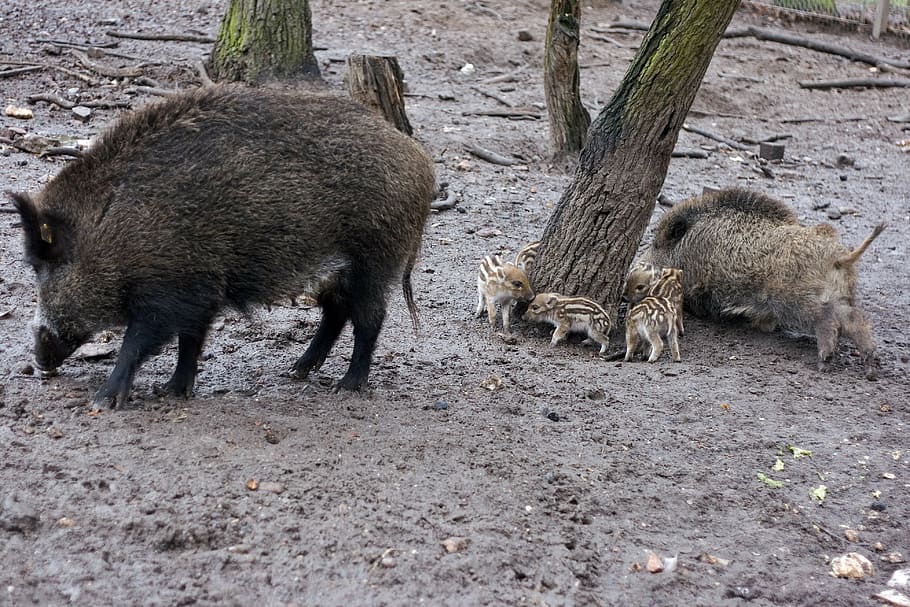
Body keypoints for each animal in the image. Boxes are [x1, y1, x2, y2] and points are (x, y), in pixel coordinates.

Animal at [10, 85, 436, 406]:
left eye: (42, 263)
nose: (39, 361)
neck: (112, 225)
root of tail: (421, 162)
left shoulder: (171, 289)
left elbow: (139, 343)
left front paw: (103, 401)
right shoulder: (199, 290)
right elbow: (190, 341)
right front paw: (171, 391)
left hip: (375, 258)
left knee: (370, 319)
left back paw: (346, 386)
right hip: (340, 270)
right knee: (336, 311)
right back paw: (297, 370)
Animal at [643, 187, 885, 379]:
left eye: (657, 244)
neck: (688, 245)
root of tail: (840, 257)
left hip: (801, 302)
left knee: (829, 323)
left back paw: (824, 363)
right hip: (841, 297)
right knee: (857, 322)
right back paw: (871, 370)